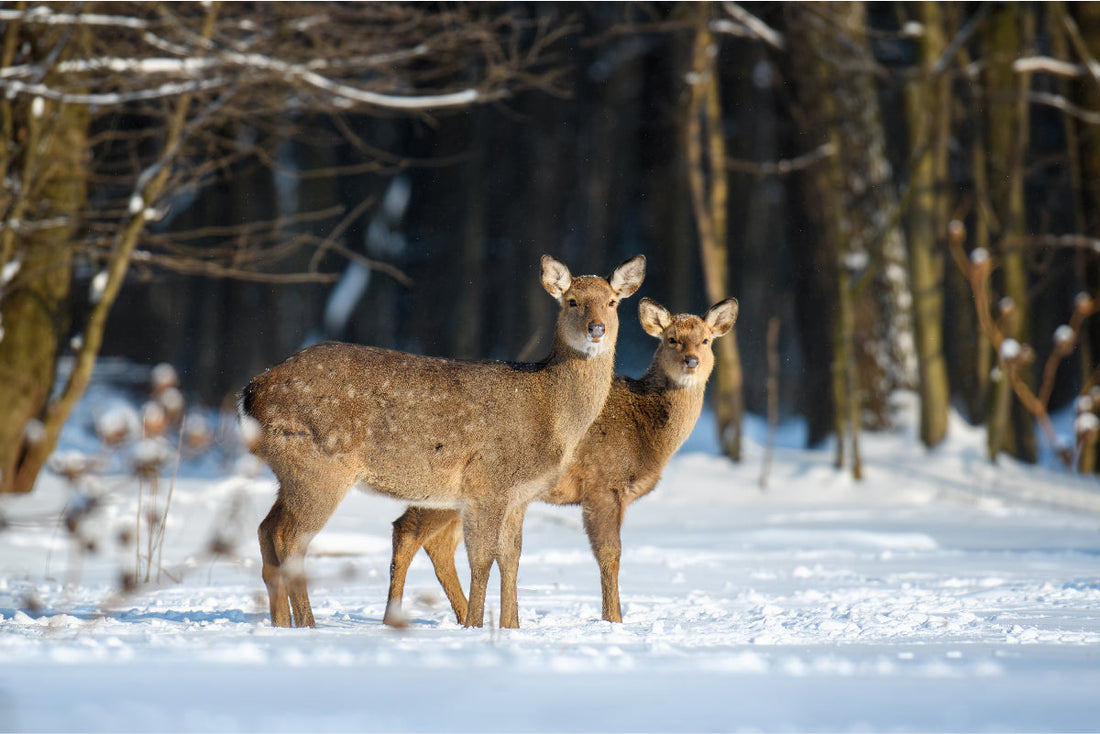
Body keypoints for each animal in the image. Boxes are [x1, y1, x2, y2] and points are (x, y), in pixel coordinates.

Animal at [240, 254, 646, 629]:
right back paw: (308, 625)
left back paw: (281, 623)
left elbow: (511, 558)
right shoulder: (488, 482)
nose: (597, 328)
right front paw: (475, 625)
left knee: (266, 528)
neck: (551, 415)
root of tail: (251, 393)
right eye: (572, 301)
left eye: (612, 301)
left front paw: (511, 627)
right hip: (318, 467)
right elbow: (482, 558)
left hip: (291, 471)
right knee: (290, 538)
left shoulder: (520, 495)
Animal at [383, 296, 739, 625]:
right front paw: (614, 620)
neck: (648, 434)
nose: (691, 361)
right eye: (671, 339)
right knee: (408, 529)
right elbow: (610, 555)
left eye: (706, 340)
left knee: (439, 542)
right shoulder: (602, 485)